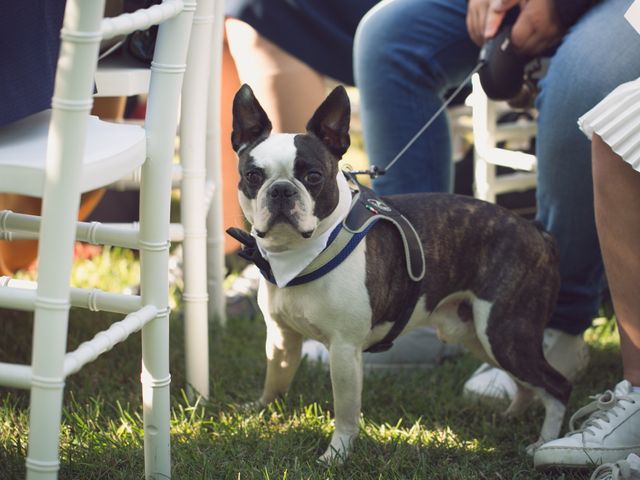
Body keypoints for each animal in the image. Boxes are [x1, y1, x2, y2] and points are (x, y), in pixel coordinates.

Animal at [230, 84, 568, 464]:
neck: (302, 252)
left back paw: (543, 443)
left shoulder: (344, 351)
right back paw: (512, 416)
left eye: (313, 176)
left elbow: (346, 411)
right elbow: (276, 378)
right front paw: (259, 410)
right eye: (253, 176)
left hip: (505, 332)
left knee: (556, 385)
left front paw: (336, 455)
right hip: (479, 335)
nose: (281, 189)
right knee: (528, 384)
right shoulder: (281, 337)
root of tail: (537, 231)